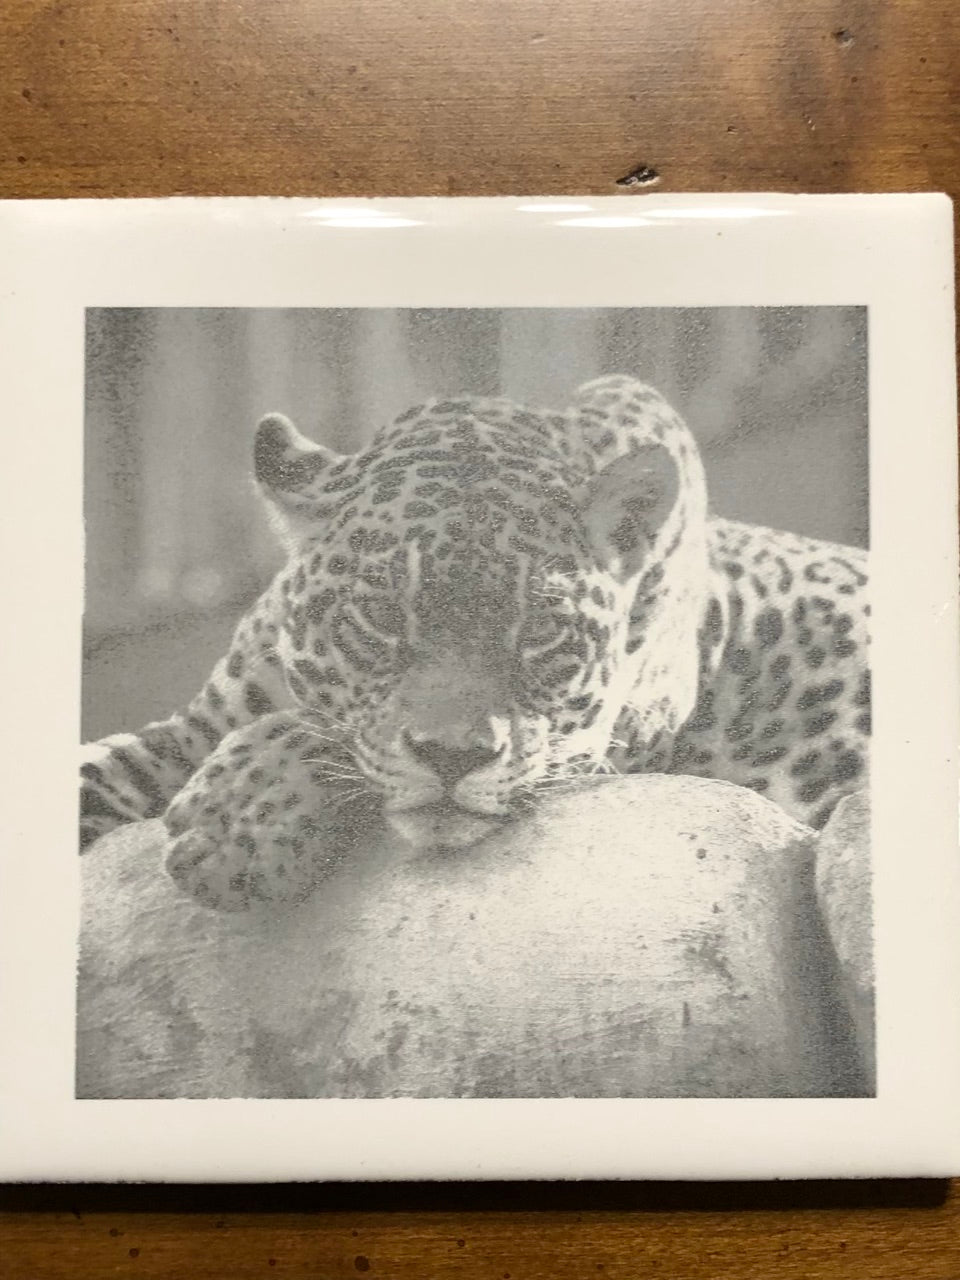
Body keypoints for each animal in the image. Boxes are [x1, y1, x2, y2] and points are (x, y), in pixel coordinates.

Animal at [80, 375, 870, 911]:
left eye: (540, 630)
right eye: (381, 616)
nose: (453, 756)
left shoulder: (609, 736)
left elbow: (322, 730)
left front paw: (235, 821)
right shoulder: (187, 730)